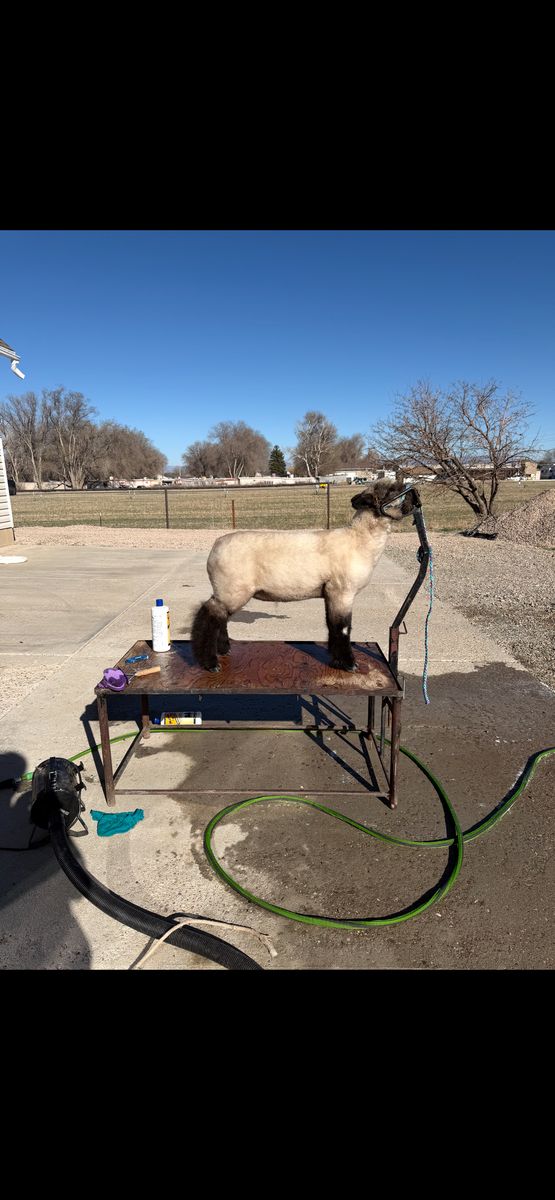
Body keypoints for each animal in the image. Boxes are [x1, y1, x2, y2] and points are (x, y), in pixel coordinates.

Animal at [190, 479, 418, 672]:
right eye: (391, 491)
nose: (414, 494)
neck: (359, 540)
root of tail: (215, 547)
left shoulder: (331, 593)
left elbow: (332, 626)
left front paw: (336, 660)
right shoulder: (342, 591)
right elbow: (343, 628)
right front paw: (348, 664)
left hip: (228, 590)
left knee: (218, 617)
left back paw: (223, 649)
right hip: (232, 590)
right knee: (208, 617)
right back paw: (210, 663)